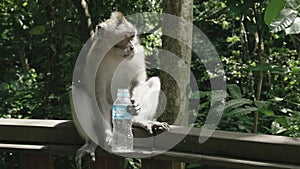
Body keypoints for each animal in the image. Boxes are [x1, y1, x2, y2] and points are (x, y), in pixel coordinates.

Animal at [73, 11, 169, 168]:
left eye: (132, 37)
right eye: (125, 39)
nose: (132, 47)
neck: (115, 54)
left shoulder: (138, 54)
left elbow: (138, 82)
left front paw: (136, 104)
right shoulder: (95, 59)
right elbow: (98, 95)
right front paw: (108, 135)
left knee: (155, 81)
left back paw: (138, 121)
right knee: (77, 93)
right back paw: (90, 143)